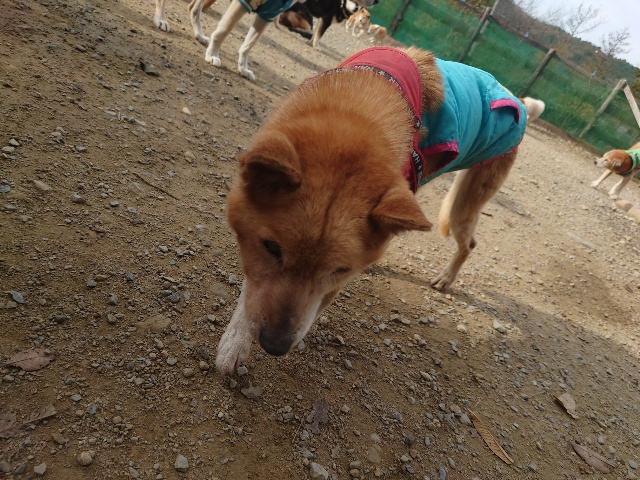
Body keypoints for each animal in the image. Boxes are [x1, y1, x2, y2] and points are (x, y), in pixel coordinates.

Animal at [215, 46, 527, 373]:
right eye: (272, 248)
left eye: (339, 270)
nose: (274, 345)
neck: (357, 109)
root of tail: (514, 96)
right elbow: (252, 291)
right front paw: (236, 340)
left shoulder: (337, 280)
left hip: (462, 204)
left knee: (470, 243)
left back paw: (446, 278)